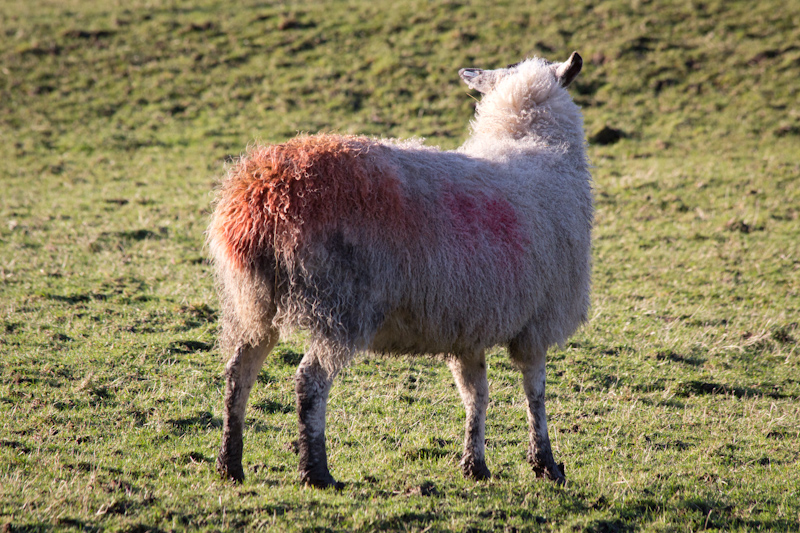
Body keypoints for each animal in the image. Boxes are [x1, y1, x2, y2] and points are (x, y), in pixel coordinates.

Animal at [209, 52, 592, 488]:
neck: (532, 145)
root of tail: (260, 196)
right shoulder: (537, 322)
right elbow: (535, 393)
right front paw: (546, 463)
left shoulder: (468, 326)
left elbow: (476, 394)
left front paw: (474, 464)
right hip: (340, 306)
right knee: (309, 382)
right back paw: (316, 472)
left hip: (253, 301)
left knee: (238, 373)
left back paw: (230, 464)